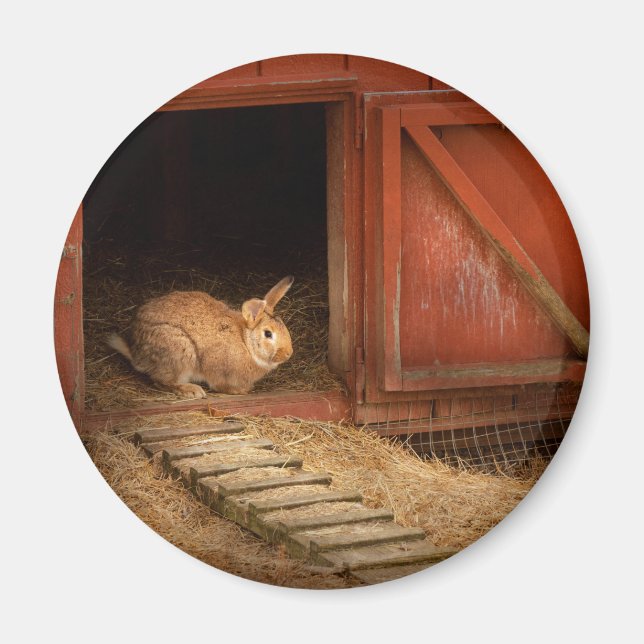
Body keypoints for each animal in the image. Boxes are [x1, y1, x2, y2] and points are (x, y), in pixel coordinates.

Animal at [106, 276, 294, 398]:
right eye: (268, 334)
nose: (288, 354)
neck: (245, 342)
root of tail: (136, 353)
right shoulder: (219, 371)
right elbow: (220, 385)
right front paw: (240, 391)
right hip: (180, 352)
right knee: (161, 381)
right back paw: (192, 390)